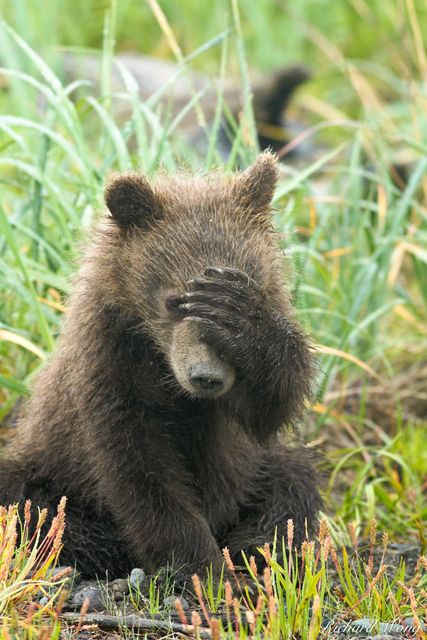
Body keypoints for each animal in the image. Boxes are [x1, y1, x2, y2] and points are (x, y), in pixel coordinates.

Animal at [0, 151, 322, 580]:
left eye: (251, 284)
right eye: (175, 300)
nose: (205, 377)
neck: (160, 363)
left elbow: (267, 408)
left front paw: (239, 313)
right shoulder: (110, 367)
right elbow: (142, 470)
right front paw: (197, 564)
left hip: (255, 472)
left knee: (292, 483)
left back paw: (255, 549)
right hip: (49, 465)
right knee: (26, 501)